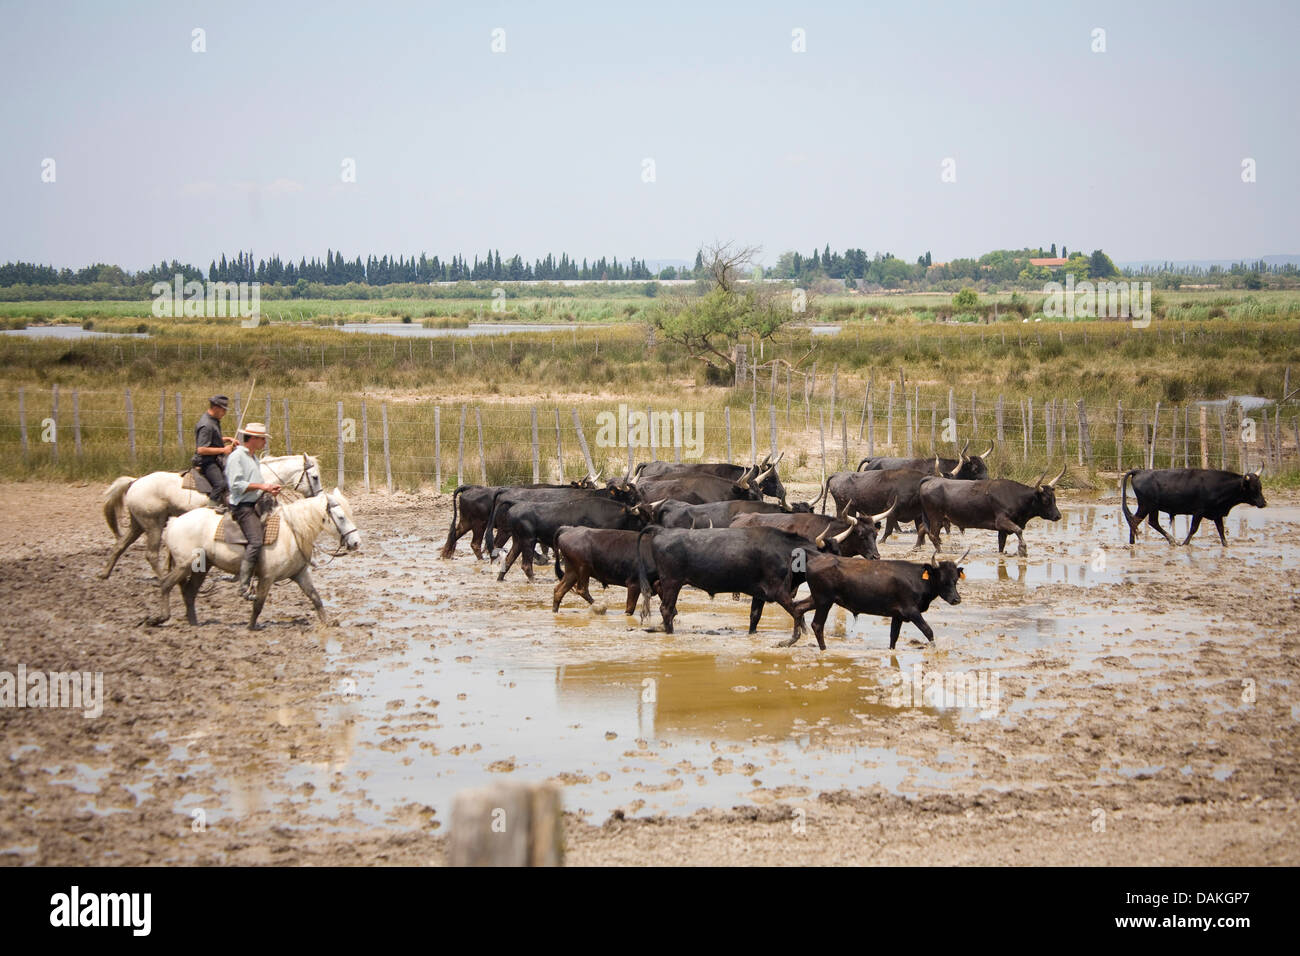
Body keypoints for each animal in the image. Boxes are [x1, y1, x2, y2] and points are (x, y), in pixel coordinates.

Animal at [100, 457, 323, 582]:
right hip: (153, 523)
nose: (319, 495)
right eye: (314, 477)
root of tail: (135, 481)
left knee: (120, 545)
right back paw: (164, 578)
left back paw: (105, 573)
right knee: (151, 554)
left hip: (139, 524)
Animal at [148, 489, 361, 632]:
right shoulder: (267, 577)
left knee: (189, 593)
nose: (356, 542)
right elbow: (258, 603)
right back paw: (160, 618)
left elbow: (315, 597)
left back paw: (193, 624)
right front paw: (251, 627)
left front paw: (328, 622)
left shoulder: (299, 574)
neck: (291, 532)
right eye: (341, 517)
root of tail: (174, 522)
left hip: (202, 567)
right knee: (166, 584)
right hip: (185, 564)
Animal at [780, 554, 967, 650]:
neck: (917, 579)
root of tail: (812, 561)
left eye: (955, 579)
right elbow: (928, 631)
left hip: (818, 599)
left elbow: (893, 637)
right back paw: (824, 649)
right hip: (824, 601)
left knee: (798, 608)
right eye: (942, 580)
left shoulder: (897, 615)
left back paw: (789, 641)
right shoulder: (911, 611)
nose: (956, 599)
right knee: (817, 624)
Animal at [1123, 468, 1263, 546]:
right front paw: (1185, 543)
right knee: (1134, 521)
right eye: (1252, 487)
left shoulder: (1217, 514)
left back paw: (1171, 540)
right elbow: (1193, 529)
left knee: (1151, 522)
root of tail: (1140, 471)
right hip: (1146, 506)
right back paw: (1132, 542)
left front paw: (1226, 544)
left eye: (1260, 486)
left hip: (1152, 508)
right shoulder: (1198, 512)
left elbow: (1221, 530)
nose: (1263, 503)